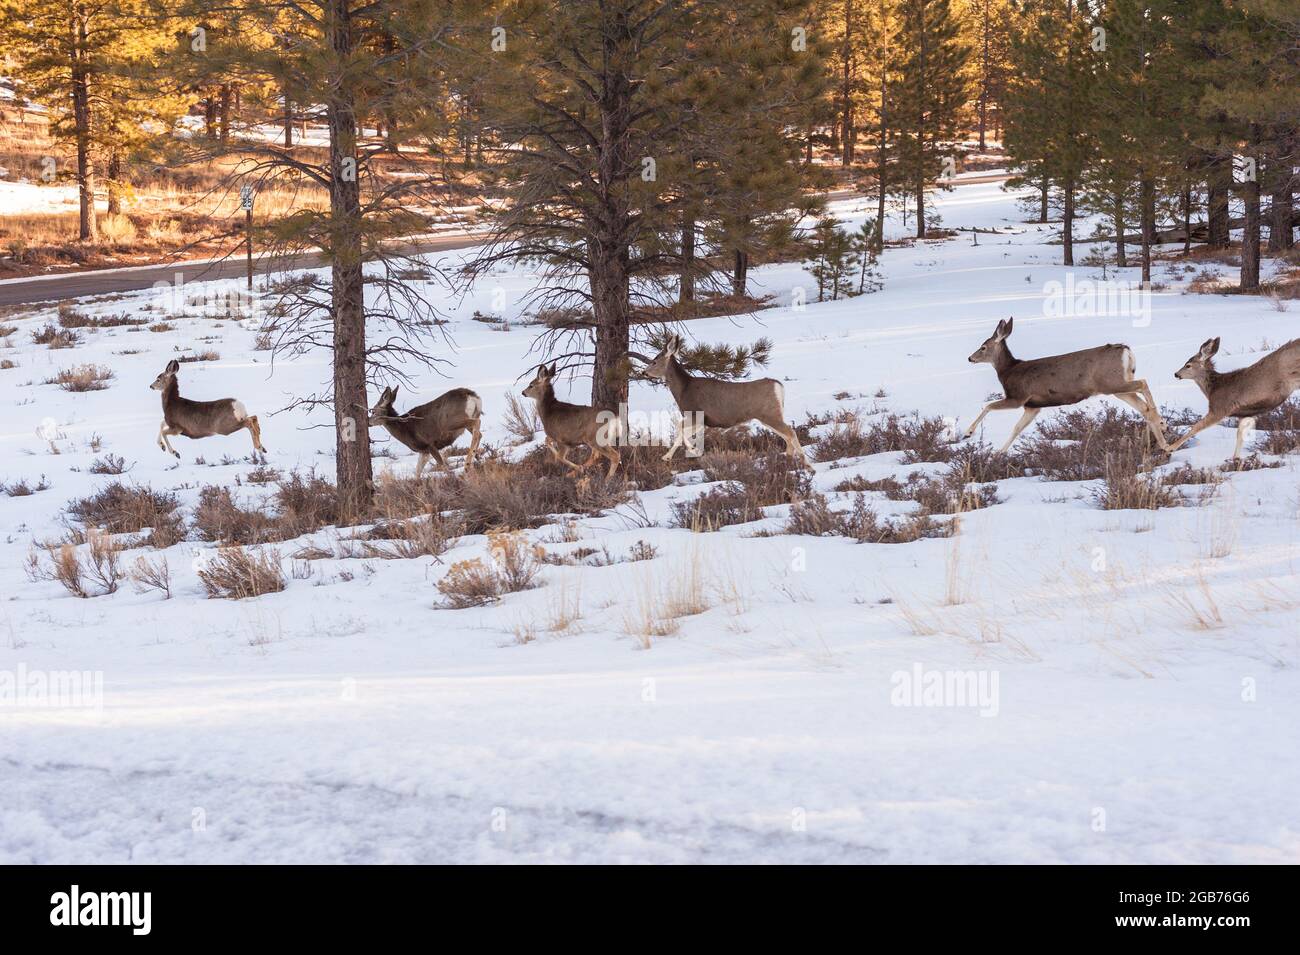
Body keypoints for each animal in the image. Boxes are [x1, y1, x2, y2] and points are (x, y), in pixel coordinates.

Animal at [637, 335, 806, 467]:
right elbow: (681, 433)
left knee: (790, 432)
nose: (643, 372)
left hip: (770, 414)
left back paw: (806, 464)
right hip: (769, 415)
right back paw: (790, 460)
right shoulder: (702, 420)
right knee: (787, 435)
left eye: (654, 361)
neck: (684, 389)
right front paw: (667, 457)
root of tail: (779, 386)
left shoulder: (695, 414)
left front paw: (694, 450)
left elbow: (679, 428)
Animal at [967, 319, 1170, 454]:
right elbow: (1017, 428)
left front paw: (968, 433)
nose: (970, 358)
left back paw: (1162, 425)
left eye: (983, 347)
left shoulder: (1018, 396)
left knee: (1143, 383)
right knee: (1143, 405)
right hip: (1117, 386)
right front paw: (999, 453)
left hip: (1112, 382)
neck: (1007, 371)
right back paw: (1163, 440)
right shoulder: (1032, 406)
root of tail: (1126, 350)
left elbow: (989, 406)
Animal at [1170, 337, 1300, 462]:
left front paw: (1170, 448)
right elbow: (1240, 435)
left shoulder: (1219, 409)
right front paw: (1235, 458)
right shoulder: (1244, 413)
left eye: (1188, 365)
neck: (1212, 389)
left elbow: (1195, 427)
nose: (1176, 374)